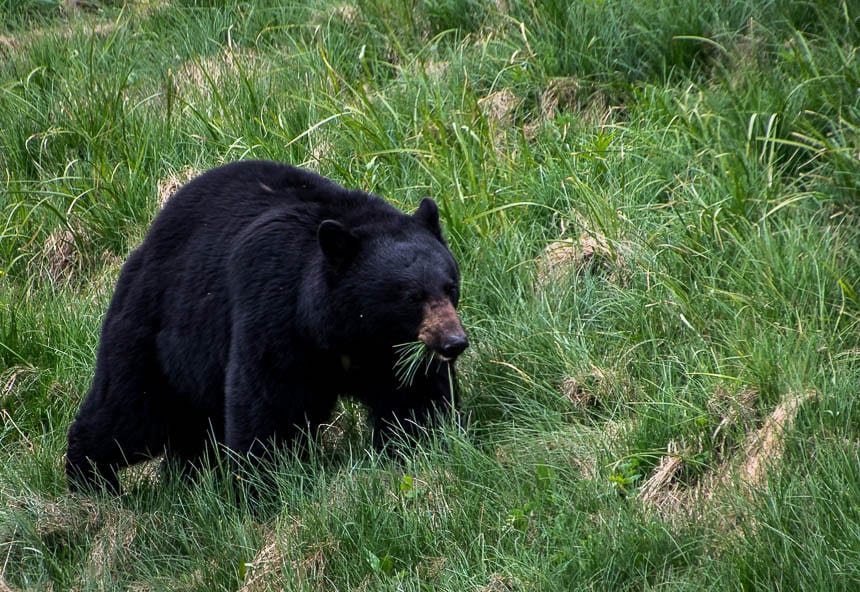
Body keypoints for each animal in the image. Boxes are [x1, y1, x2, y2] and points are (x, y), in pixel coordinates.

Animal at [67, 160, 466, 492]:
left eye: (450, 287)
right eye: (412, 296)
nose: (454, 342)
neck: (344, 333)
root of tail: (140, 248)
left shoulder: (393, 355)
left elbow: (414, 399)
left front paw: (418, 446)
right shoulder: (275, 310)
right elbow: (269, 402)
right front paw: (261, 485)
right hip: (154, 331)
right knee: (129, 412)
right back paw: (89, 482)